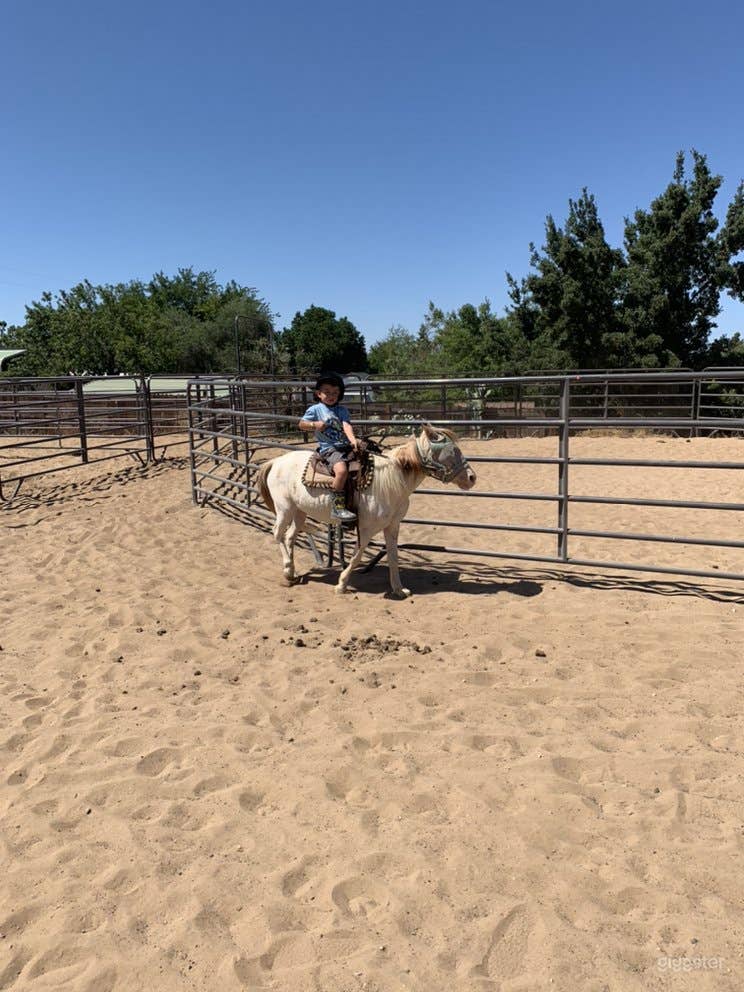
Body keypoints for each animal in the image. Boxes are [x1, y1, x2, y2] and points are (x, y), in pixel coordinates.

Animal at [256, 424, 477, 597]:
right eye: (451, 450)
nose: (472, 478)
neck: (392, 479)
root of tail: (275, 461)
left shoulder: (392, 526)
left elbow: (393, 556)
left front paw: (399, 589)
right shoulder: (366, 529)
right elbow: (357, 557)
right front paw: (341, 585)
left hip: (299, 512)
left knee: (290, 536)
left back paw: (291, 573)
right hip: (284, 508)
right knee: (277, 534)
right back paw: (287, 569)